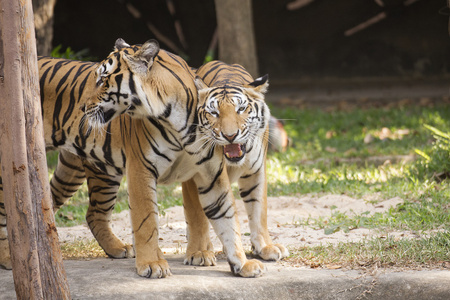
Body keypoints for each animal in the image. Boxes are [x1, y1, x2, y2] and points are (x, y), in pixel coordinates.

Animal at [0, 38, 266, 278]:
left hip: (87, 171)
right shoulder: (142, 168)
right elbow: (146, 220)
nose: (82, 107)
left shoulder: (211, 174)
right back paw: (10, 258)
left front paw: (242, 263)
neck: (178, 121)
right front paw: (152, 264)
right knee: (9, 214)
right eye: (213, 112)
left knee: (85, 212)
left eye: (103, 79)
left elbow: (228, 218)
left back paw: (116, 249)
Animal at [182, 61, 290, 268]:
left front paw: (266, 247)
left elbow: (259, 211)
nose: (230, 135)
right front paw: (199, 252)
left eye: (240, 109)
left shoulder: (256, 172)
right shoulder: (194, 175)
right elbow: (196, 215)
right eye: (214, 113)